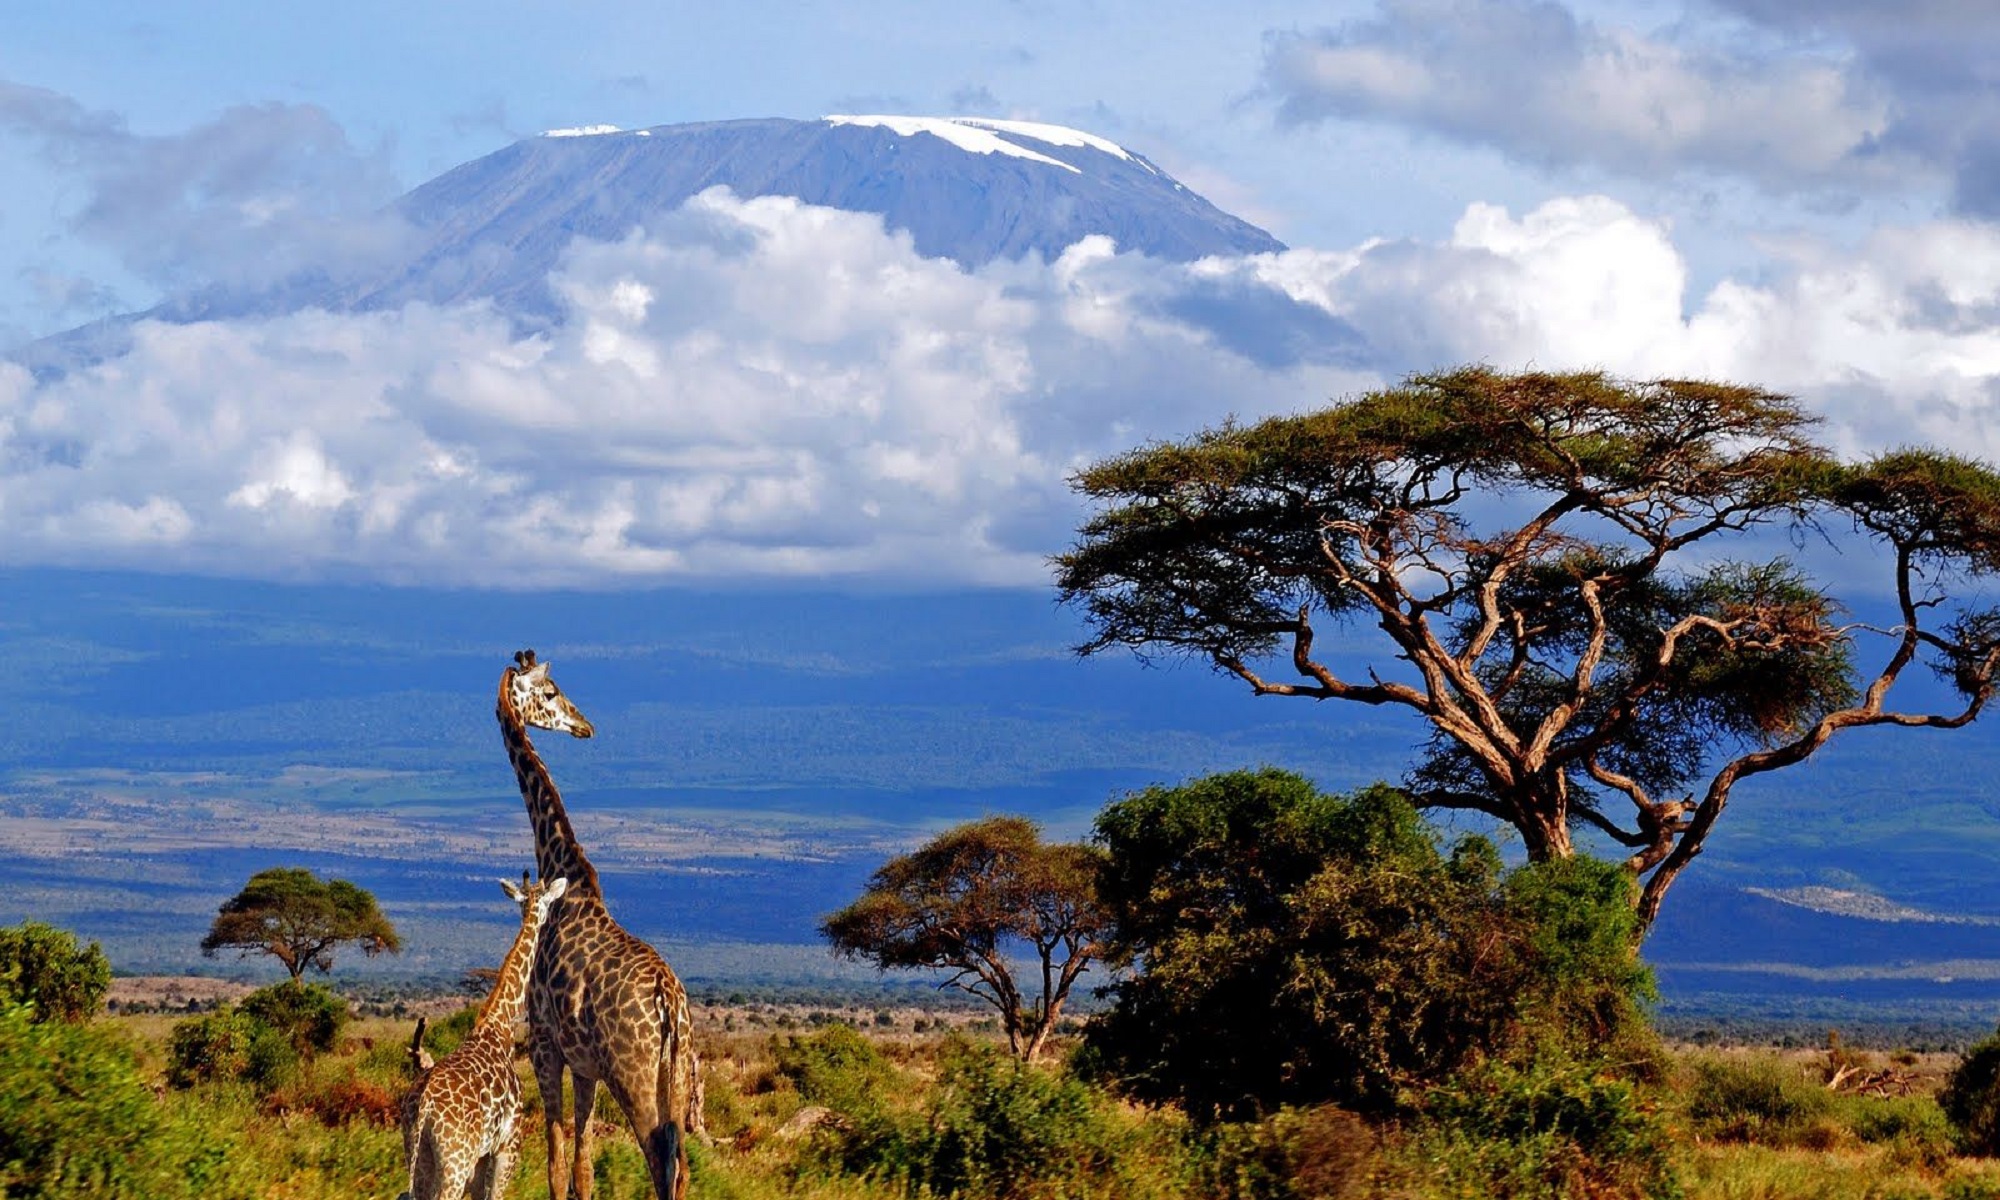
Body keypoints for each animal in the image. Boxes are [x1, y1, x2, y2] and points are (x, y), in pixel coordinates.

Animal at [396, 872, 572, 1200]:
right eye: (546, 903)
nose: (544, 921)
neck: (499, 1024)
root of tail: (424, 1106)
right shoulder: (507, 1144)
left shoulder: (480, 1155)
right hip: (455, 1158)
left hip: (418, 1151)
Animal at [496, 652, 700, 1200]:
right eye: (550, 693)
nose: (584, 726)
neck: (560, 864)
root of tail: (669, 1002)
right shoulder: (584, 1065)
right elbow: (582, 1168)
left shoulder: (544, 1044)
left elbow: (554, 1163)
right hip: (675, 1074)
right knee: (682, 1166)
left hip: (632, 1075)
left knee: (660, 1160)